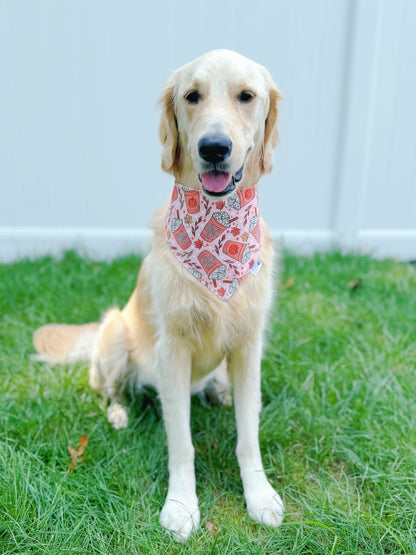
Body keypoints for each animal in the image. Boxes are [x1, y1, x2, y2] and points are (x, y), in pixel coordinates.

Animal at [34, 50, 284, 540]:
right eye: (192, 96)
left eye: (246, 96)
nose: (213, 148)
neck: (215, 229)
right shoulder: (173, 350)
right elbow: (181, 443)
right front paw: (182, 505)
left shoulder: (249, 344)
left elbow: (248, 436)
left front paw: (259, 495)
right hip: (114, 336)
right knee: (105, 389)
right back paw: (118, 413)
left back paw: (221, 393)